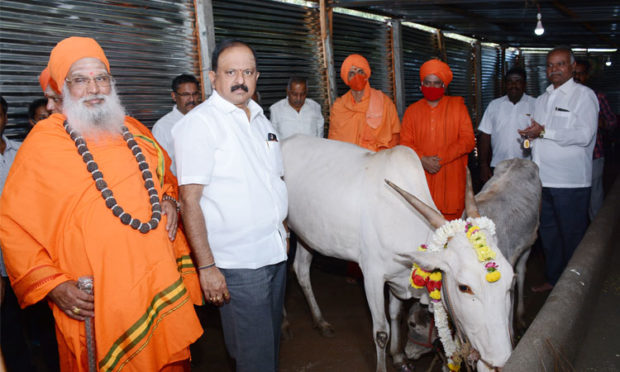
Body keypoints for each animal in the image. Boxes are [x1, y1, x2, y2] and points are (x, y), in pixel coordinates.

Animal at [280, 135, 512, 370]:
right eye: (464, 287)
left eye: (511, 280)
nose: (500, 358)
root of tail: (285, 140)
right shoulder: (372, 276)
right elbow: (381, 331)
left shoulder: (399, 277)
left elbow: (395, 314)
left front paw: (398, 356)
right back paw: (285, 323)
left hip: (308, 236)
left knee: (301, 270)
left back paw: (320, 321)